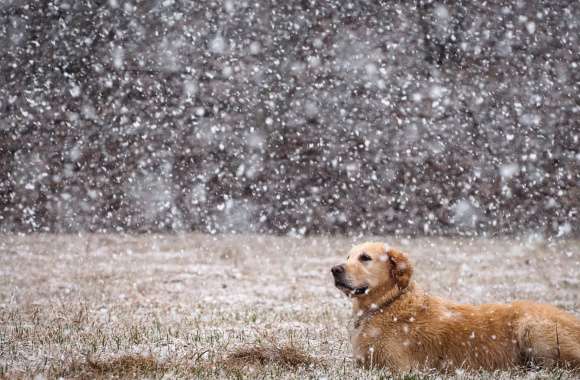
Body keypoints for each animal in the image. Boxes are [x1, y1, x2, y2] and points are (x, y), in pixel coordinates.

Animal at [330, 242, 580, 372]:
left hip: (533, 328)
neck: (387, 304)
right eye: (348, 256)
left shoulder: (399, 367)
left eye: (365, 258)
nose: (334, 269)